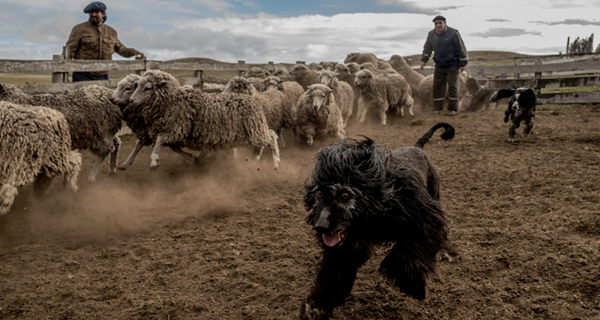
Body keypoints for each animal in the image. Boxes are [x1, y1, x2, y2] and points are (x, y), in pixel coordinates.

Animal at [129, 70, 278, 170]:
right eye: (137, 85)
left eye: (148, 87)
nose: (131, 100)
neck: (172, 101)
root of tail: (253, 101)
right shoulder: (176, 135)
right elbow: (174, 148)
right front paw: (193, 158)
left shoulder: (177, 130)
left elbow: (160, 140)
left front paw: (154, 161)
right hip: (251, 131)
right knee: (268, 136)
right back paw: (256, 159)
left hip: (254, 130)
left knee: (271, 136)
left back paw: (275, 162)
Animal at [298, 123, 458, 320]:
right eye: (320, 193)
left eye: (345, 195)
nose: (321, 226)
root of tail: (417, 147)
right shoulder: (347, 246)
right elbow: (334, 273)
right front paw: (316, 307)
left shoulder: (423, 218)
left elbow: (410, 252)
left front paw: (412, 285)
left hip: (434, 192)